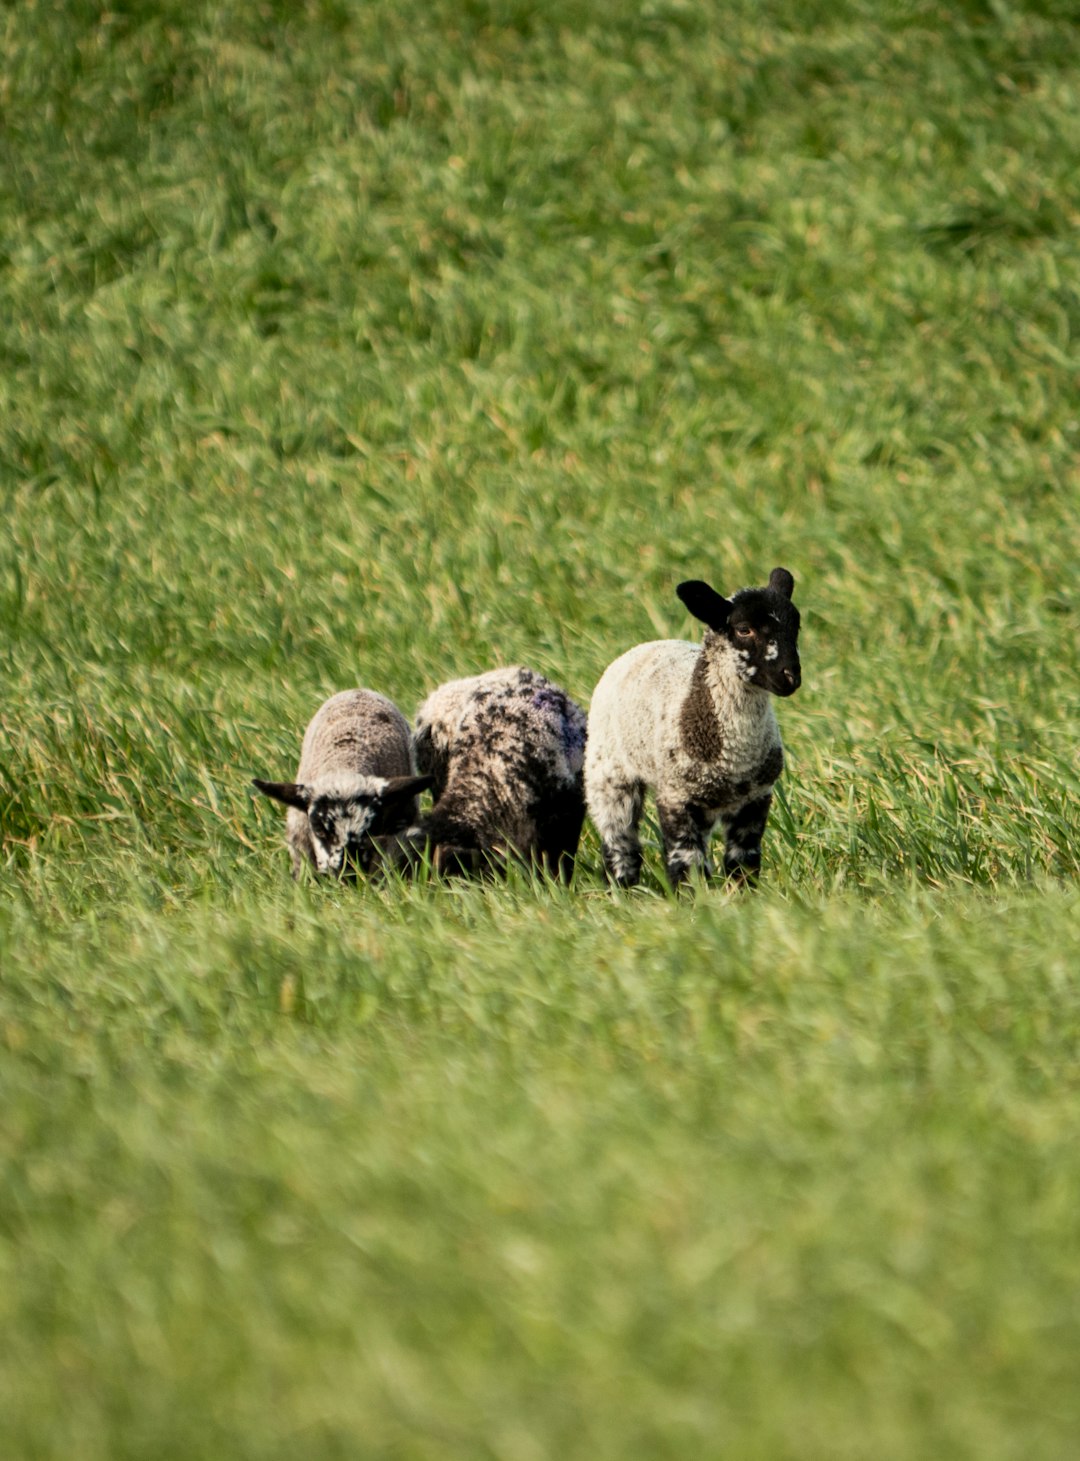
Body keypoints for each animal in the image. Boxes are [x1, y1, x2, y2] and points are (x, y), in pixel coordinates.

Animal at [581, 569, 800, 888]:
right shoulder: (676, 797)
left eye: (796, 626)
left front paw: (745, 895)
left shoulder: (756, 798)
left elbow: (743, 860)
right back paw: (620, 888)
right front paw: (694, 898)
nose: (791, 677)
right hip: (607, 770)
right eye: (744, 629)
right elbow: (686, 862)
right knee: (619, 839)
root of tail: (645, 646)